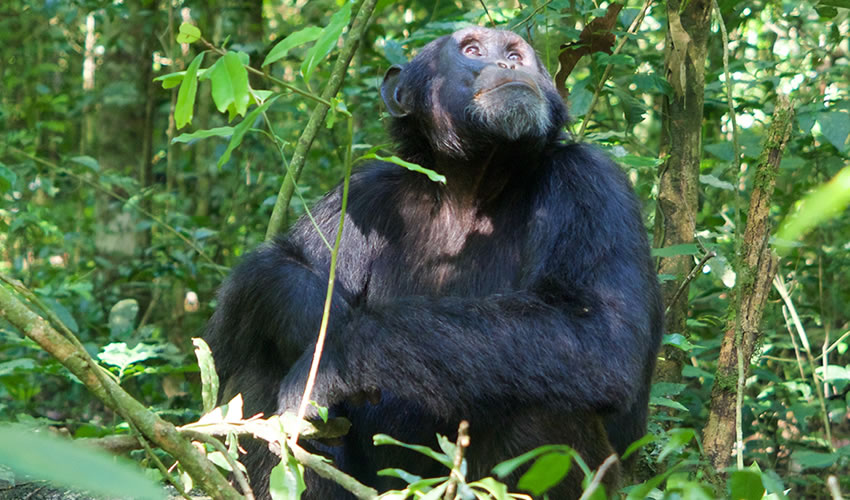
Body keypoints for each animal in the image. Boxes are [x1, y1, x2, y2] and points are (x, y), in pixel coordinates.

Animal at [205, 28, 664, 500]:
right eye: (473, 50)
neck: (471, 184)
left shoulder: (590, 182)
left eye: (516, 53)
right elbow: (264, 283)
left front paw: (332, 358)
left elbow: (597, 327)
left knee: (552, 389)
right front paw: (312, 313)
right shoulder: (360, 197)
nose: (509, 64)